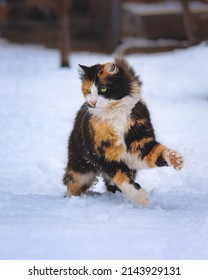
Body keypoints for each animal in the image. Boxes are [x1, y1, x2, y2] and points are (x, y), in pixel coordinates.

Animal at [63, 57, 184, 206]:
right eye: (88, 91)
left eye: (103, 88)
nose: (92, 103)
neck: (116, 114)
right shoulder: (106, 155)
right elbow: (122, 178)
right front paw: (142, 197)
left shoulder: (139, 143)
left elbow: (156, 152)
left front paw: (175, 159)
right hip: (79, 170)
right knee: (72, 184)